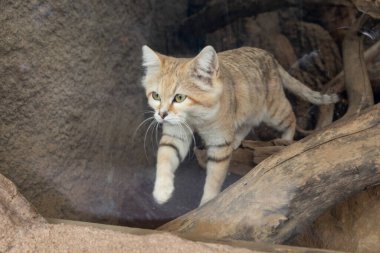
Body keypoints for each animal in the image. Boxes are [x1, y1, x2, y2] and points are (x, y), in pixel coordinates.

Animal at [141, 46, 336, 206]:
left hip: (273, 111)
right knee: (248, 124)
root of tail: (268, 54)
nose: (161, 114)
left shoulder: (219, 143)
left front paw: (207, 202)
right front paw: (161, 191)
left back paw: (285, 141)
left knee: (291, 118)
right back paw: (236, 140)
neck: (195, 117)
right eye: (156, 95)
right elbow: (164, 158)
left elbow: (214, 177)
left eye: (180, 97)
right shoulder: (175, 135)